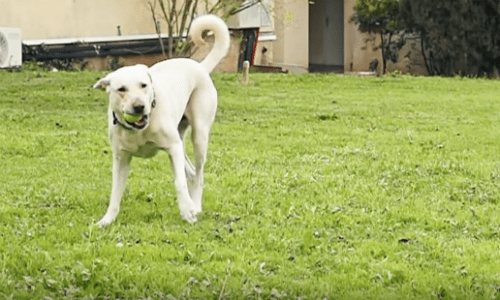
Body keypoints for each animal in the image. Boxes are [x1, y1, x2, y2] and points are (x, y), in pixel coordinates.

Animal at [93, 14, 229, 225]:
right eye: (121, 89)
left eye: (144, 85)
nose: (139, 106)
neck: (139, 130)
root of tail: (199, 66)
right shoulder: (121, 158)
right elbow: (115, 192)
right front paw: (107, 220)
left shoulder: (173, 147)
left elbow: (179, 182)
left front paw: (187, 211)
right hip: (181, 139)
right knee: (191, 172)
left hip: (198, 136)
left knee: (198, 175)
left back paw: (196, 206)